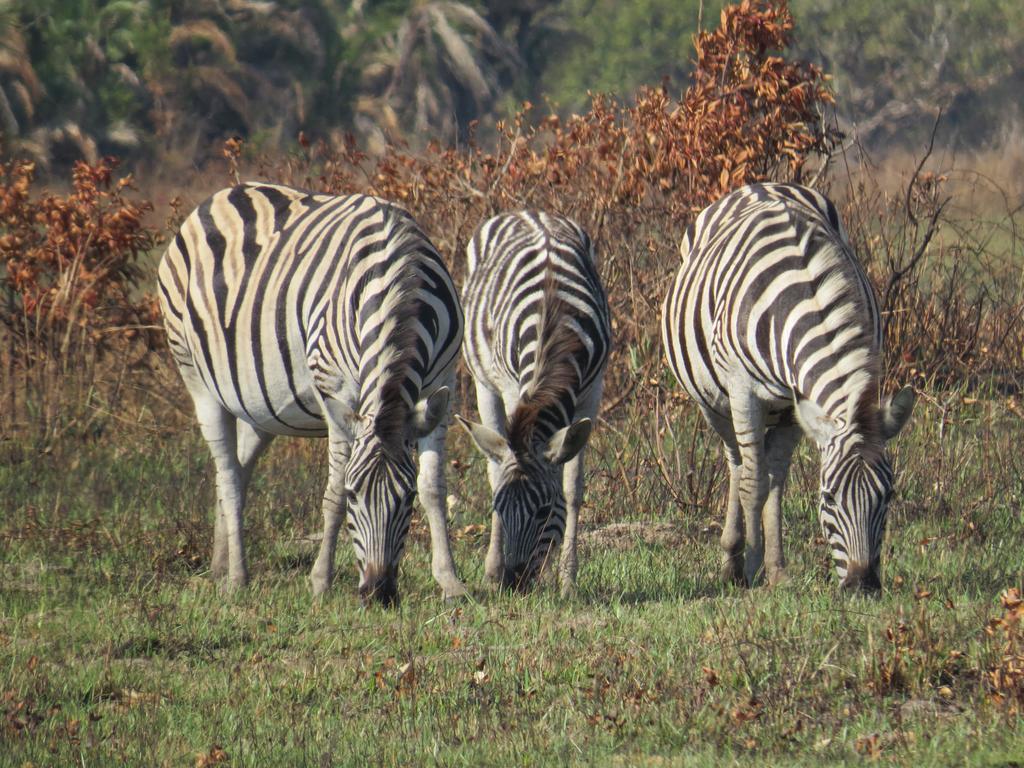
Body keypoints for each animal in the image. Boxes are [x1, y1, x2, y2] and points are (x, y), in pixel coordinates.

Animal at [157, 182, 466, 606]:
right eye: (354, 496)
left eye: (405, 500)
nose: (378, 593)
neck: (398, 282)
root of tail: (222, 195)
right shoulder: (336, 390)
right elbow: (330, 492)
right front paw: (320, 581)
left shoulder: (441, 386)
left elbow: (434, 487)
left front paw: (450, 581)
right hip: (196, 378)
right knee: (229, 476)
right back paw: (237, 577)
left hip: (260, 406)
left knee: (239, 467)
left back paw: (221, 563)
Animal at [454, 210, 606, 593]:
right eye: (498, 508)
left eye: (544, 510)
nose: (514, 583)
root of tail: (529, 212)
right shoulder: (512, 389)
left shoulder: (592, 391)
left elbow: (573, 486)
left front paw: (567, 578)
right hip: (483, 383)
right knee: (494, 464)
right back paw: (492, 568)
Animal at [659, 183, 917, 593]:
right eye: (828, 498)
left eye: (887, 496)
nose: (862, 586)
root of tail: (757, 185)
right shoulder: (743, 392)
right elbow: (753, 484)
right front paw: (751, 568)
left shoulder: (799, 404)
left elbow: (776, 481)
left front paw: (777, 570)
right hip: (714, 402)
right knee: (737, 462)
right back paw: (732, 561)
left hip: (778, 408)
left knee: (766, 468)